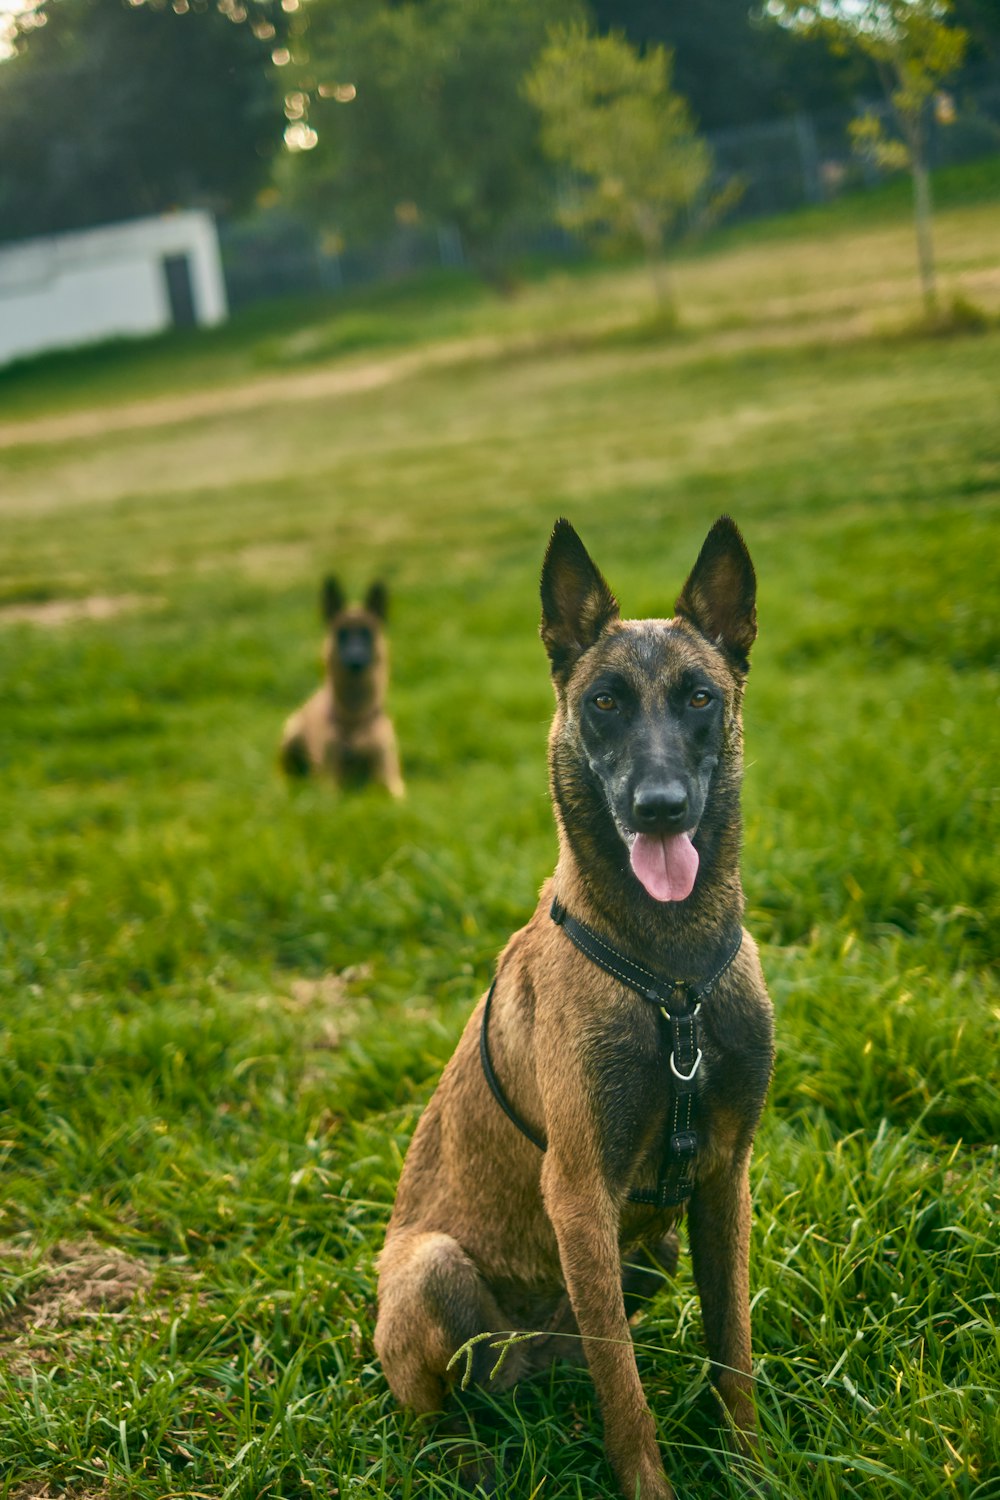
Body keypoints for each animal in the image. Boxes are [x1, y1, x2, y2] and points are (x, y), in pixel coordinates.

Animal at [280, 579, 404, 804]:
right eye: (342, 634)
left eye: (366, 633)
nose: (355, 658)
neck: (355, 721)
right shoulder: (330, 784)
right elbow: (333, 796)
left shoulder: (390, 781)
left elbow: (395, 797)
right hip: (291, 734)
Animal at [374, 519, 773, 1500]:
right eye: (603, 703)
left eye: (700, 696)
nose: (659, 808)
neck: (672, 977)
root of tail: (527, 1362)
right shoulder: (582, 1195)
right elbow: (626, 1399)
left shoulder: (725, 1179)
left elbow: (732, 1354)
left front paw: (749, 1468)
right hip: (432, 1269)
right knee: (434, 1409)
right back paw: (462, 1456)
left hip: (647, 1256)